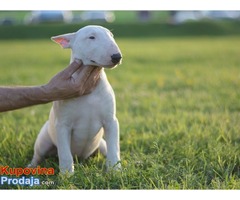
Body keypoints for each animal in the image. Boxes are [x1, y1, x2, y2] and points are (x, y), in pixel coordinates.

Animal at [28, 25, 122, 174]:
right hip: (43, 140)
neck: (90, 92)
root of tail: (81, 158)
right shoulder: (62, 125)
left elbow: (114, 148)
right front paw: (67, 175)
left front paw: (115, 171)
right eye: (91, 37)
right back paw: (30, 167)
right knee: (38, 155)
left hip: (101, 144)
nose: (117, 57)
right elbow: (65, 154)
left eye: (111, 36)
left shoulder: (111, 121)